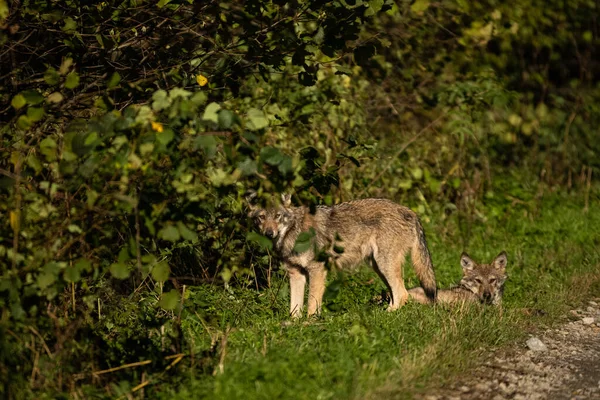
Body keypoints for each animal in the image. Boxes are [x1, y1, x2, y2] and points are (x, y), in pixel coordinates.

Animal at [246, 194, 438, 318]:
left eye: (278, 216)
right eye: (261, 217)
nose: (269, 233)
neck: (294, 232)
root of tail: (410, 211)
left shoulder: (317, 270)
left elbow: (312, 304)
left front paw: (309, 323)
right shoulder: (296, 274)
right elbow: (295, 307)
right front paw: (293, 326)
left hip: (384, 265)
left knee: (403, 293)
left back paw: (389, 314)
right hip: (378, 267)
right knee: (396, 293)